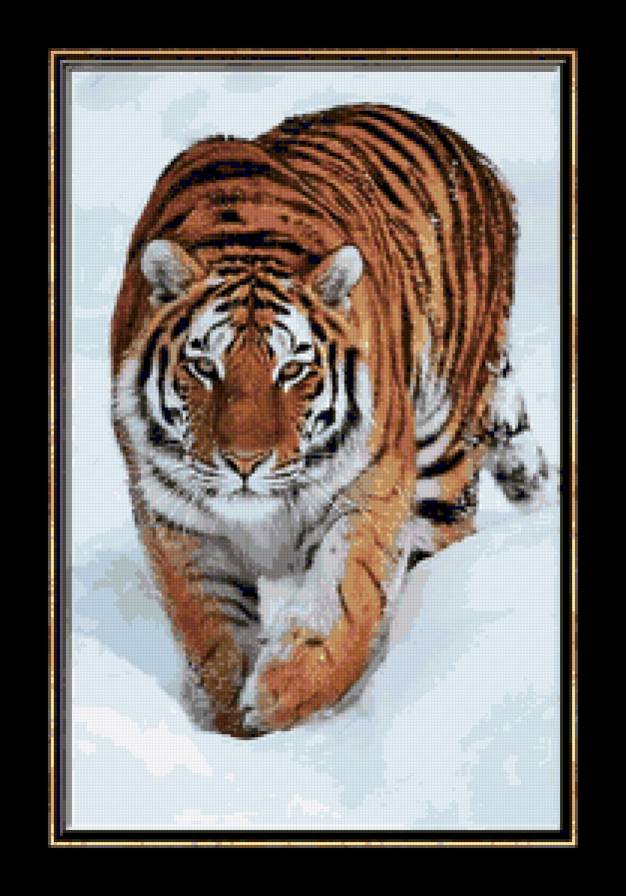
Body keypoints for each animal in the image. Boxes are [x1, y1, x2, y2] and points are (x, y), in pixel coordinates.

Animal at [111, 103, 552, 738]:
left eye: (292, 369)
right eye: (205, 366)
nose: (244, 463)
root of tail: (473, 154)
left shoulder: (370, 488)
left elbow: (344, 605)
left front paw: (282, 695)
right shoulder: (175, 518)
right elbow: (212, 634)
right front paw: (229, 721)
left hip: (445, 451)